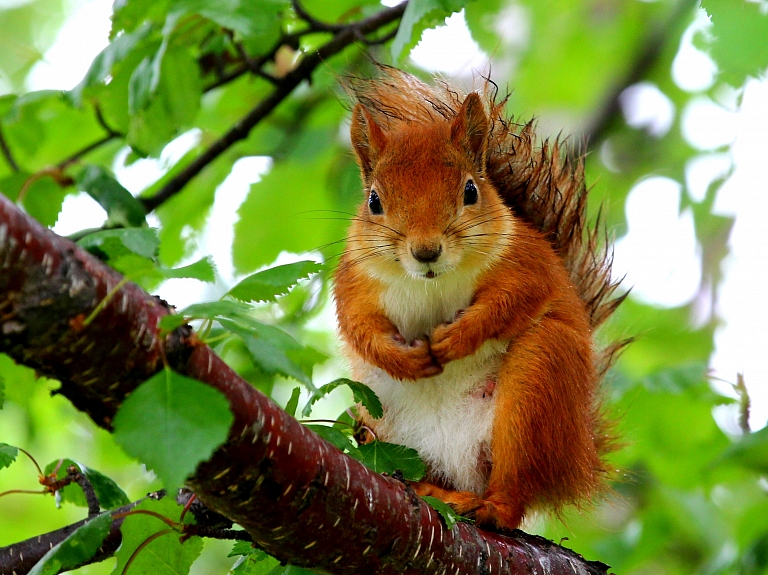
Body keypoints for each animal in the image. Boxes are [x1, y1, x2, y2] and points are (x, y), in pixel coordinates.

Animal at [332, 66, 628, 532]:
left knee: (515, 489)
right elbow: (358, 326)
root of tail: (579, 457)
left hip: (537, 386)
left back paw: (490, 506)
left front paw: (456, 337)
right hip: (380, 415)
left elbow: (512, 300)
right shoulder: (355, 281)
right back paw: (426, 486)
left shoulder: (527, 261)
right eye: (374, 201)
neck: (431, 283)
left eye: (471, 191)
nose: (426, 251)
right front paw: (404, 358)